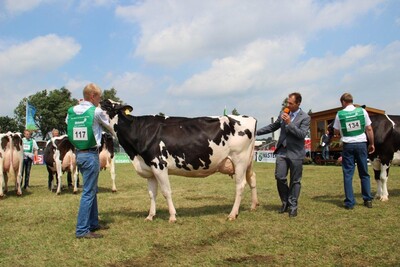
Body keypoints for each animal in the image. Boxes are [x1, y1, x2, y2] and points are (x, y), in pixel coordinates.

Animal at [98, 99, 258, 223]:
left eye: (107, 104)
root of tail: (249, 118)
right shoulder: (149, 169)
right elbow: (152, 193)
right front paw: (150, 216)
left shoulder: (159, 165)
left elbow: (166, 191)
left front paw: (172, 216)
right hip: (248, 161)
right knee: (252, 179)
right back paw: (253, 206)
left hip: (239, 159)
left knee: (240, 185)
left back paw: (232, 214)